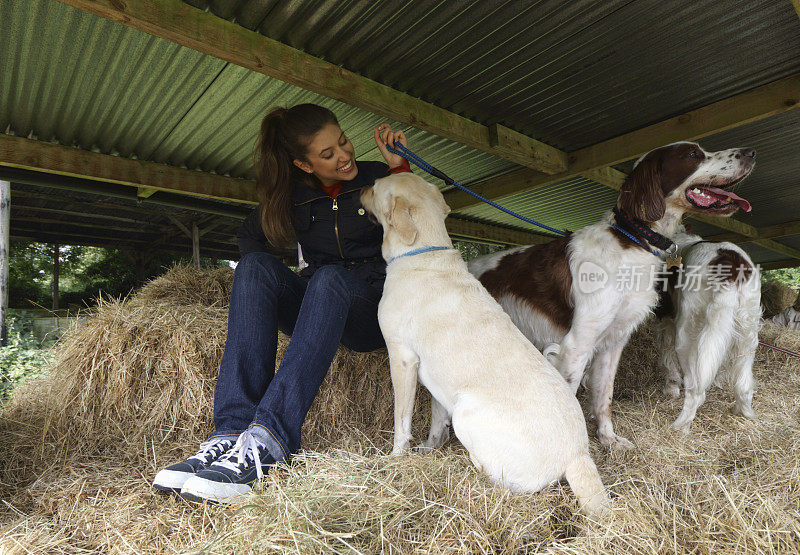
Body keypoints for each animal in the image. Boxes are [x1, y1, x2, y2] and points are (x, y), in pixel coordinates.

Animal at [468, 141, 756, 450]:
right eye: (693, 154)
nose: (750, 152)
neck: (633, 240)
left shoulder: (613, 341)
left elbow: (604, 396)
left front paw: (608, 440)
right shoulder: (578, 343)